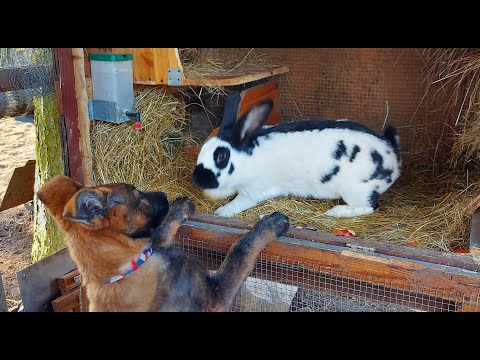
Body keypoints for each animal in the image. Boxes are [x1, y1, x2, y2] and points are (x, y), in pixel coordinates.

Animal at [37, 176, 288, 310]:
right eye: (138, 196)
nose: (166, 195)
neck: (128, 268)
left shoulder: (153, 246)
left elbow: (162, 231)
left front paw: (179, 208)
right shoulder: (216, 296)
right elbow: (241, 251)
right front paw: (269, 225)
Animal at [191, 92, 402, 217]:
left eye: (221, 157)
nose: (197, 179)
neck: (248, 159)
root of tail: (392, 156)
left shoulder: (253, 192)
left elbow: (238, 203)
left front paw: (221, 212)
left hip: (356, 190)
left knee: (369, 206)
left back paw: (335, 211)